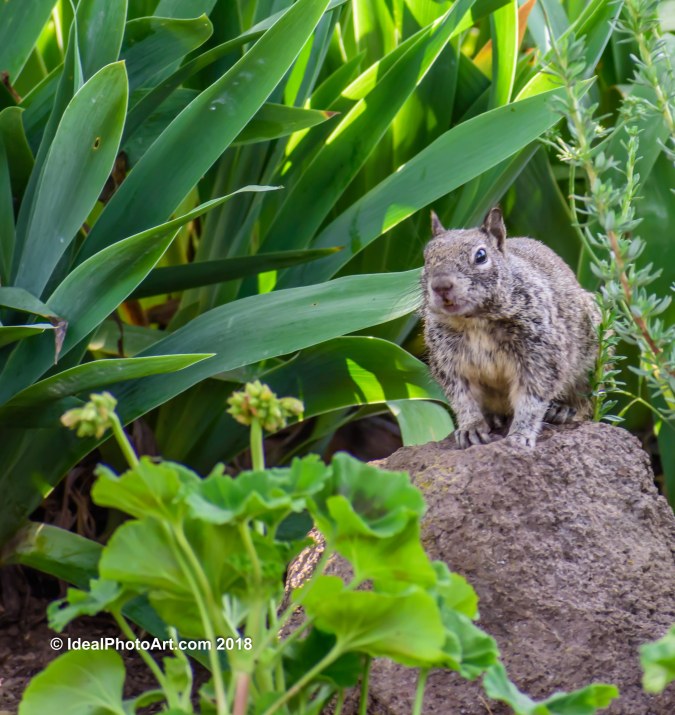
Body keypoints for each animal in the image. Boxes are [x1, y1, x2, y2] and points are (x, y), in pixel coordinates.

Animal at [422, 207, 600, 448]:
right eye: (425, 257)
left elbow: (531, 398)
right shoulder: (450, 364)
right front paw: (471, 427)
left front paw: (520, 435)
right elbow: (463, 399)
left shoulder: (541, 356)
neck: (474, 321)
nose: (441, 285)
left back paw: (563, 409)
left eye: (481, 256)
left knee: (584, 397)